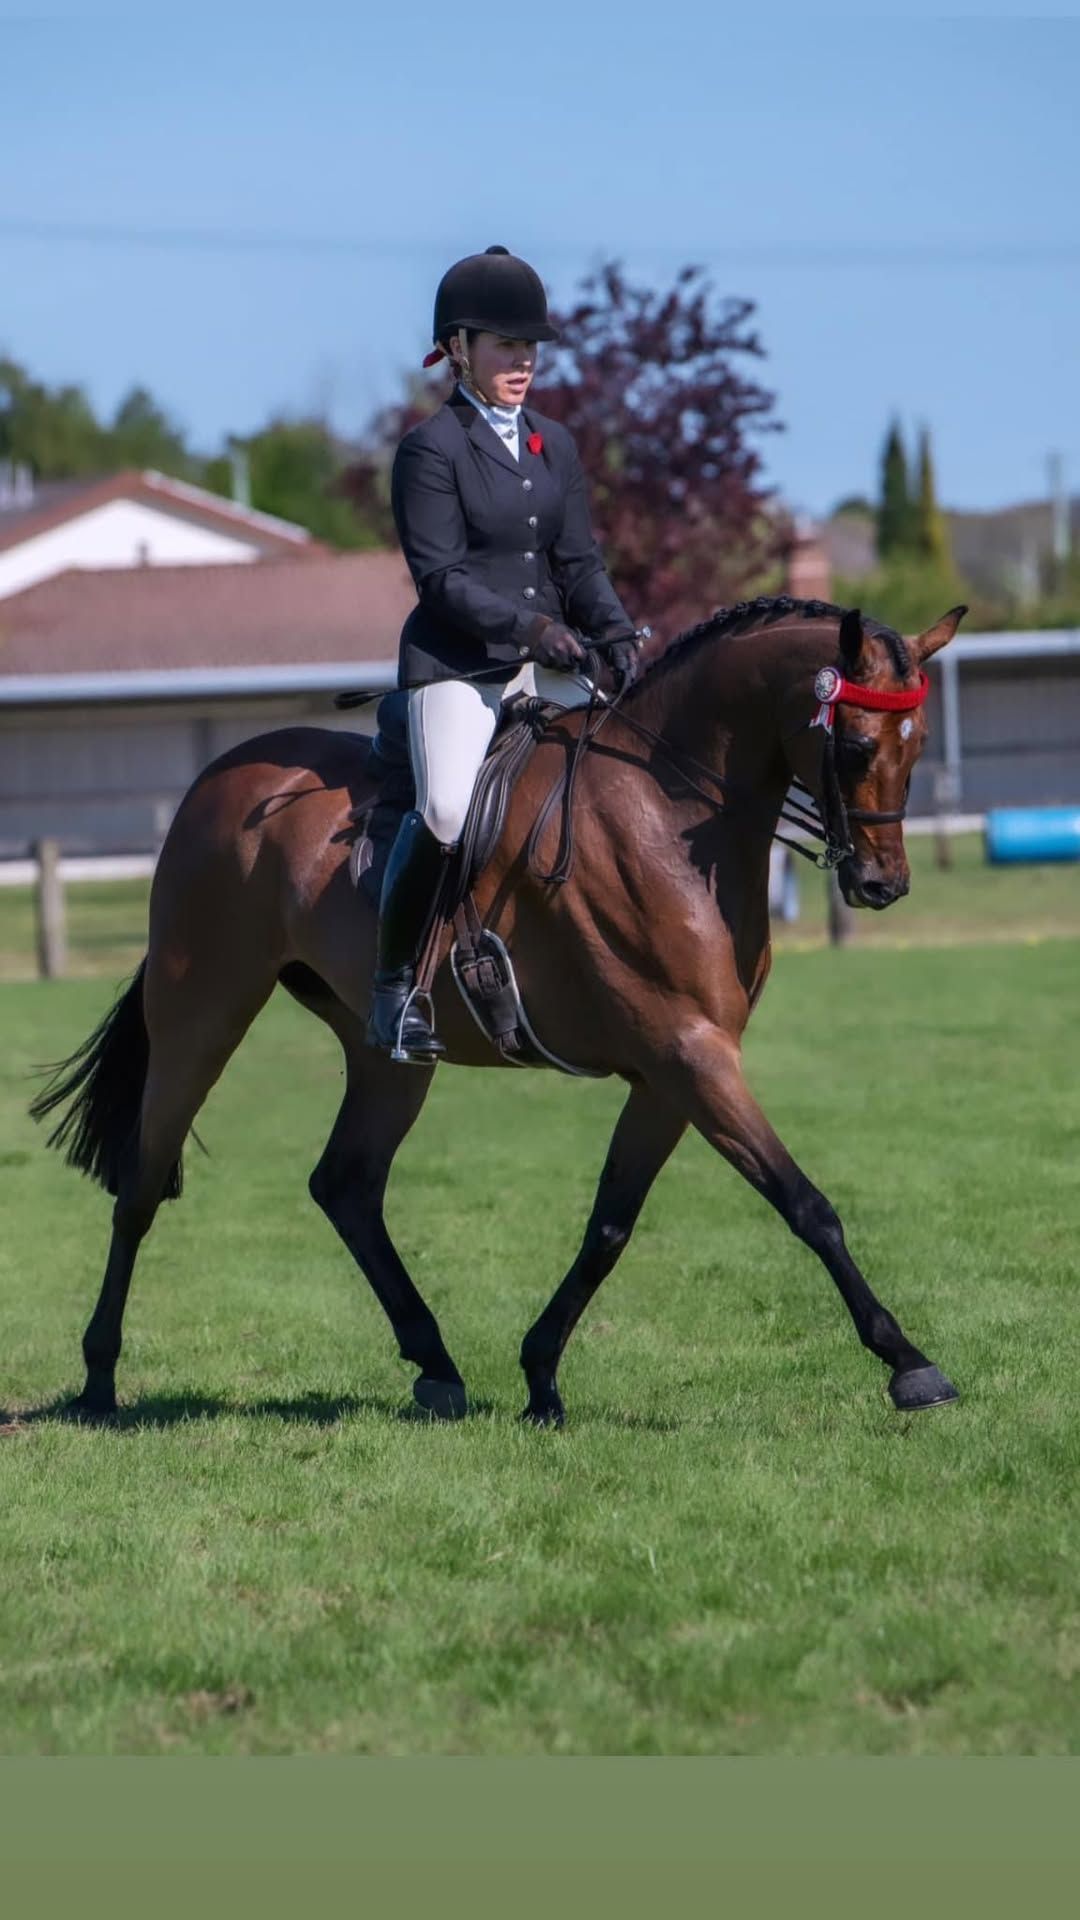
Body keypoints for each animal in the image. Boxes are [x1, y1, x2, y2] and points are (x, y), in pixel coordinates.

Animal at [29, 599, 960, 1428]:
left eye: (916, 747)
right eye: (853, 744)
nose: (881, 884)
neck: (664, 811)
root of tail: (227, 775)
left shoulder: (672, 1072)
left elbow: (610, 1225)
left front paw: (541, 1376)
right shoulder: (691, 1055)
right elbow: (806, 1205)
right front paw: (909, 1364)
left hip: (386, 1054)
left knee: (346, 1185)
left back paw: (436, 1365)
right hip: (202, 1011)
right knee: (141, 1185)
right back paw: (99, 1381)